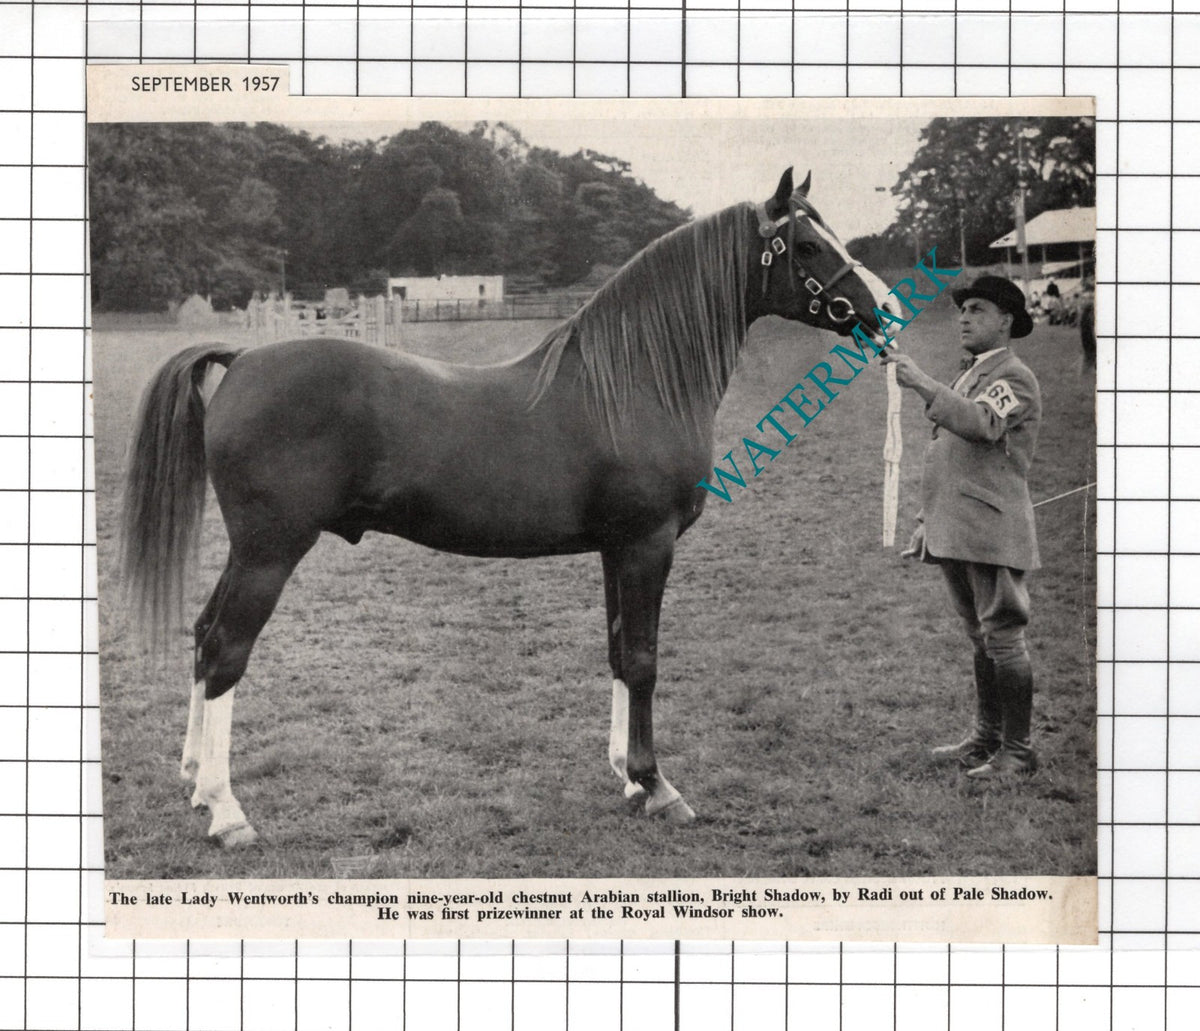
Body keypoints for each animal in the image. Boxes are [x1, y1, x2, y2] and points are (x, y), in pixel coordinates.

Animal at [120, 168, 895, 847]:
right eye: (807, 247)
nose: (882, 310)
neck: (634, 382)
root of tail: (243, 360)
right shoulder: (649, 542)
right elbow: (644, 659)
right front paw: (658, 786)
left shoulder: (618, 548)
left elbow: (618, 651)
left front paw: (626, 776)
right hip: (270, 549)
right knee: (226, 649)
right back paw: (226, 811)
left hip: (250, 550)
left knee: (203, 634)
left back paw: (194, 780)